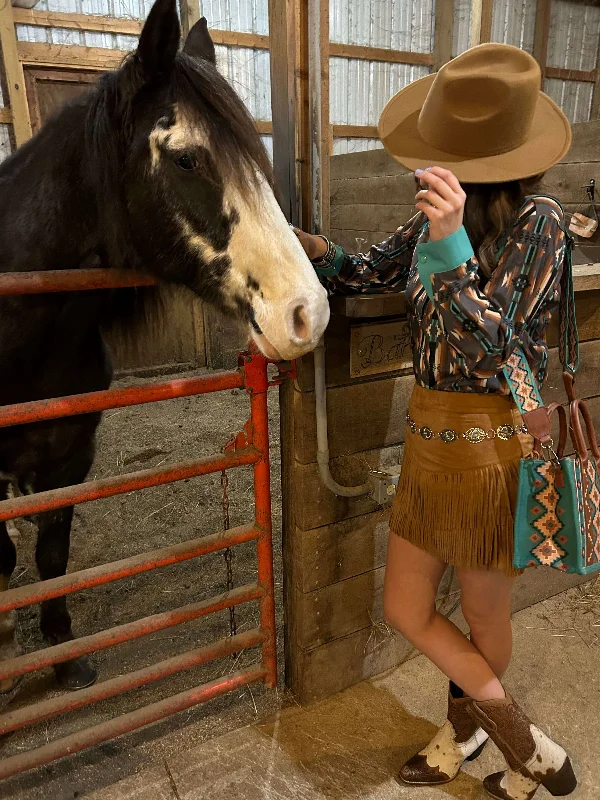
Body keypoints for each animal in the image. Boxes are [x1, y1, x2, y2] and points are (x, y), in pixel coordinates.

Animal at [0, 0, 328, 692]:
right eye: (184, 160)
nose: (308, 313)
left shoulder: (70, 456)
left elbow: (51, 552)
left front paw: (63, 656)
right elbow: (7, 552)